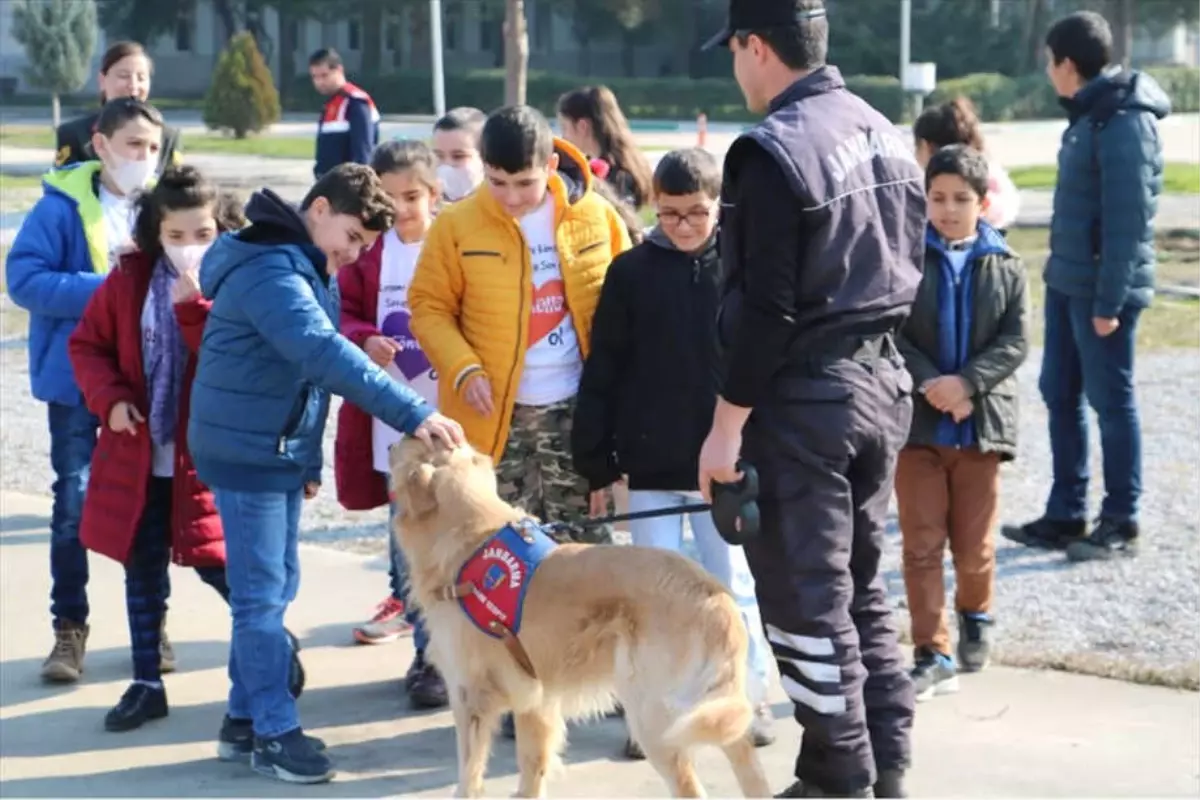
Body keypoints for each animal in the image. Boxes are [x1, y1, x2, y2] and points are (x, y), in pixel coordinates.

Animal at [388, 441, 772, 796]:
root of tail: (715, 595)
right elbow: (532, 769)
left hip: (658, 717)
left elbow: (469, 774)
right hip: (707, 709)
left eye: (408, 444)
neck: (471, 534)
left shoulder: (469, 695)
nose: (389, 444)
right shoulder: (535, 697)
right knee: (747, 762)